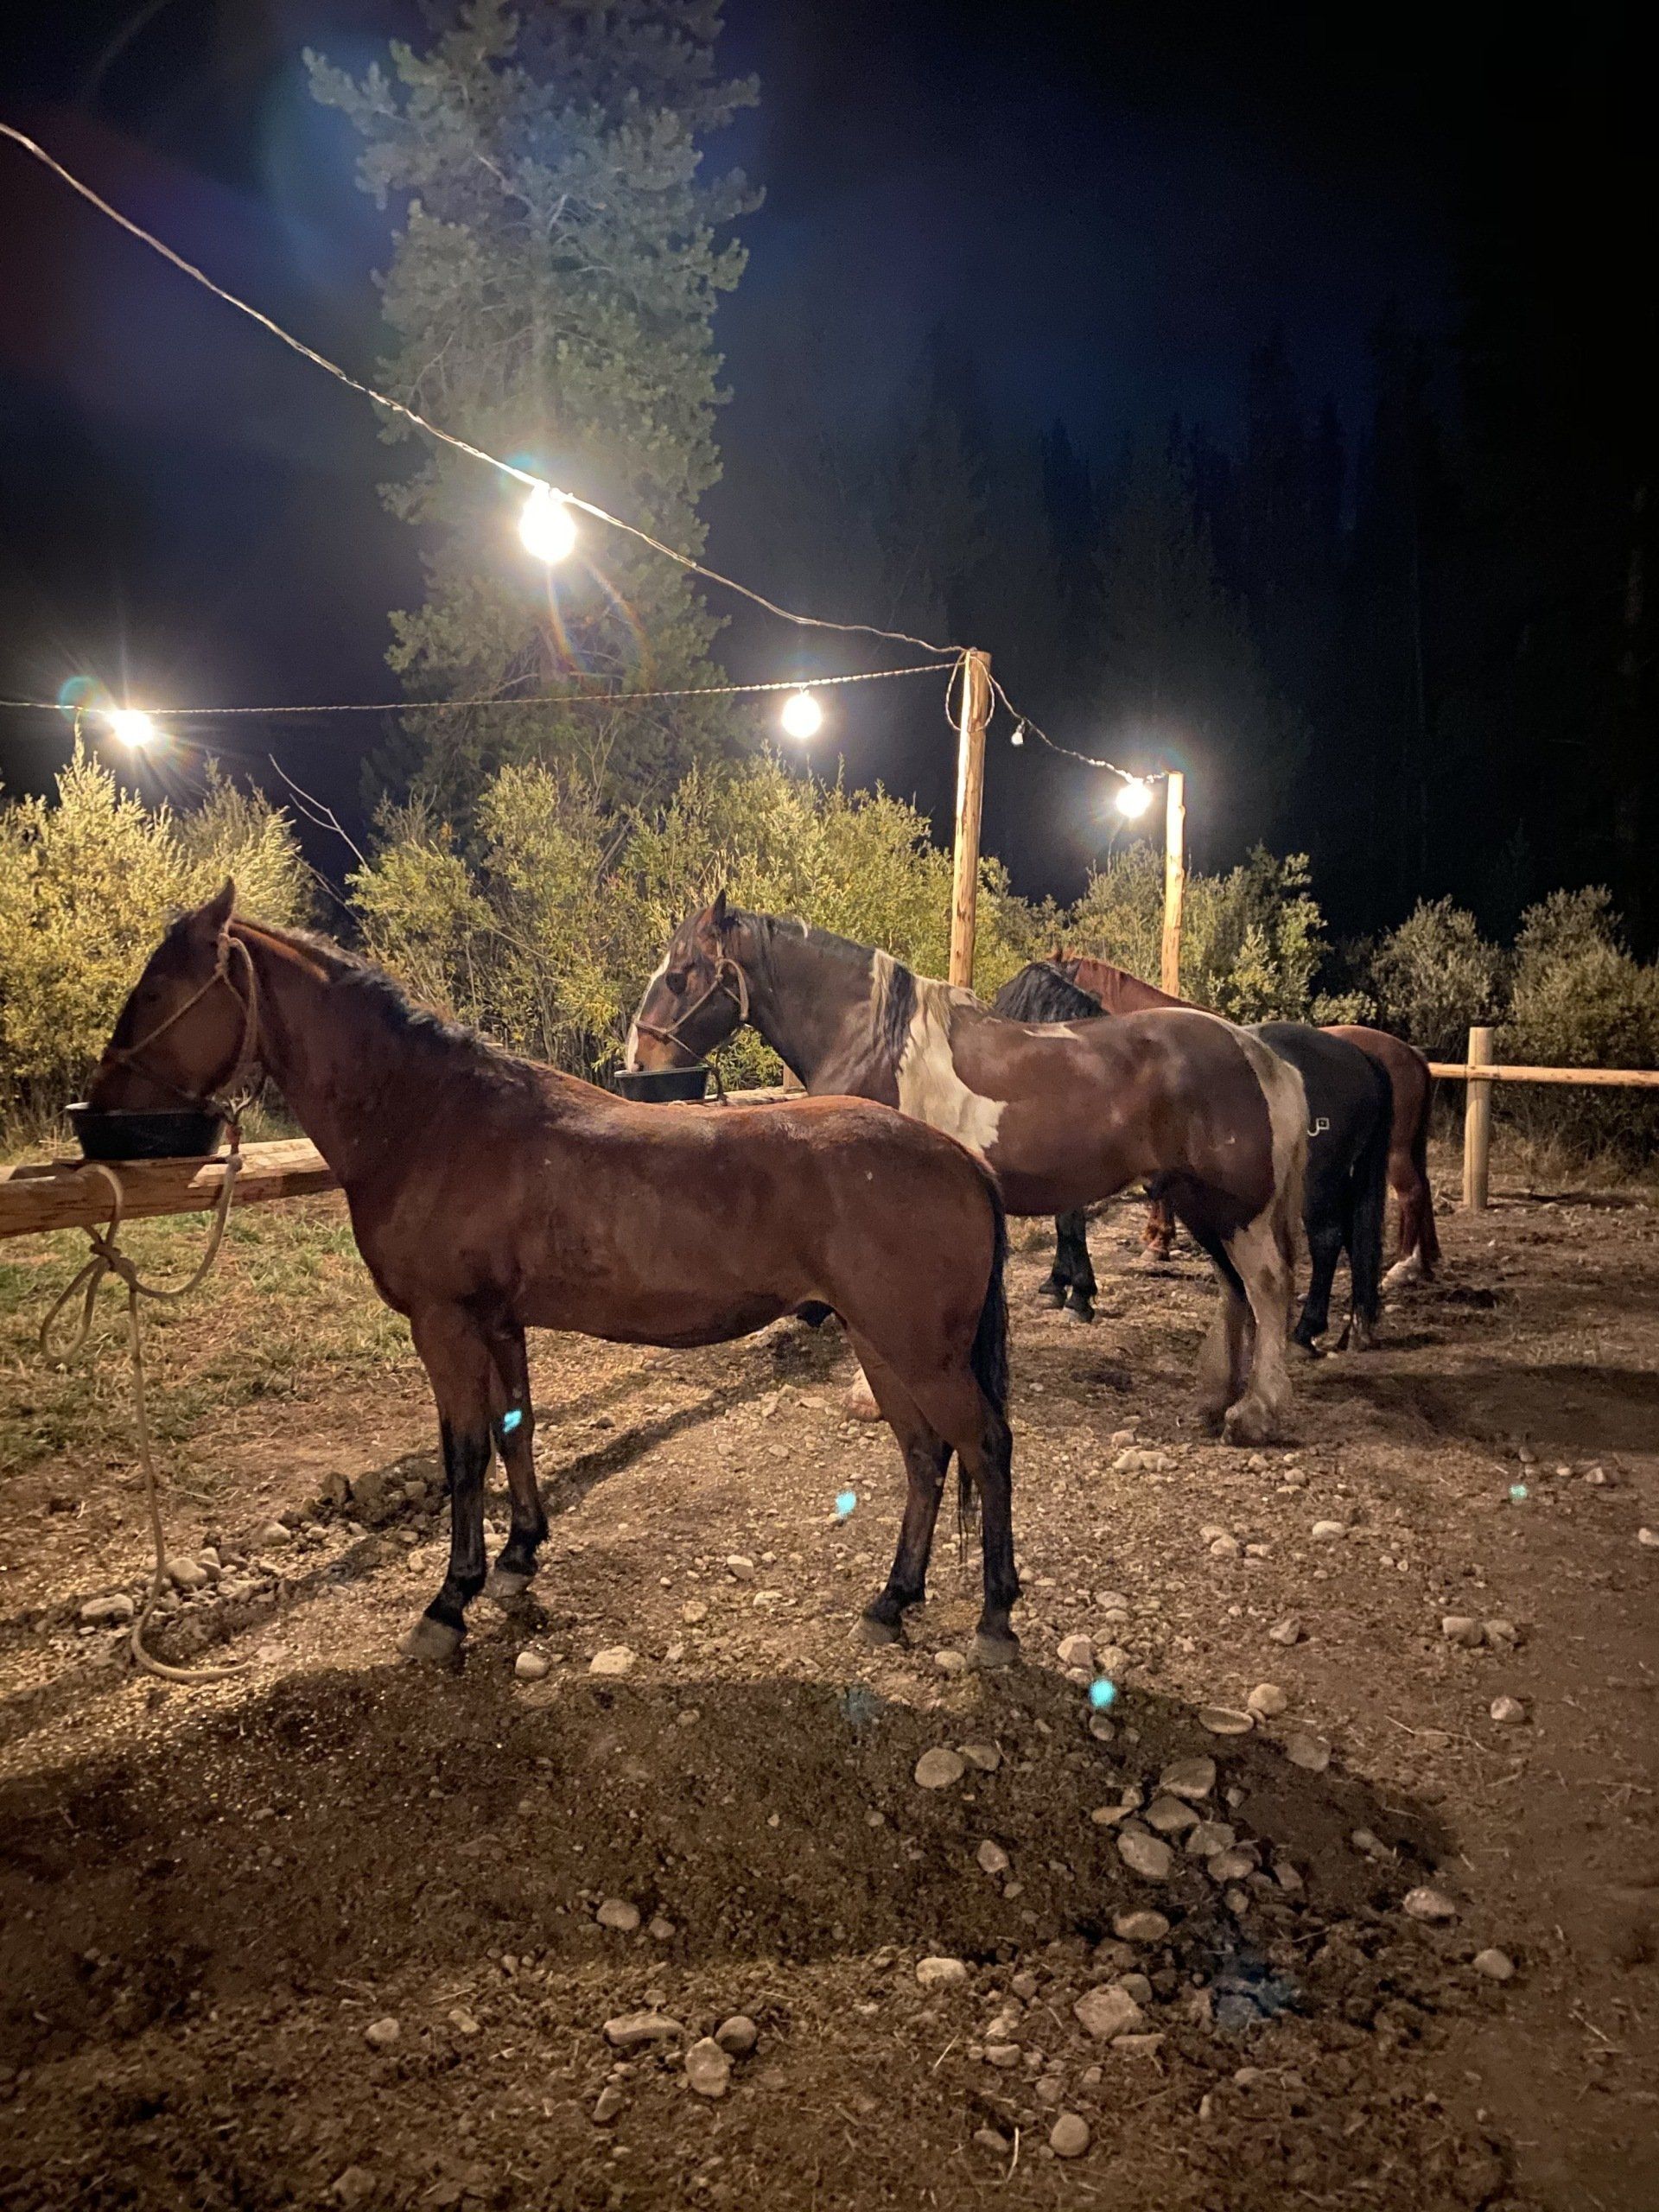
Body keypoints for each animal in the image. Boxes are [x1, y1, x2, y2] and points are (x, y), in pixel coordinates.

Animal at [87, 883, 1023, 1667]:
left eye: (158, 993)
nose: (98, 1115)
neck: (433, 1119)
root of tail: (961, 1162)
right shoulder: (499, 1321)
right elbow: (516, 1430)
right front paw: (517, 1556)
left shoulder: (445, 1323)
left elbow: (464, 1451)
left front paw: (449, 1601)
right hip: (879, 1344)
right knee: (925, 1457)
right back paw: (892, 1601)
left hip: (921, 1353)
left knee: (984, 1446)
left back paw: (994, 1621)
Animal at [627, 895, 1309, 1445]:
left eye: (681, 976)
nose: (637, 1060)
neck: (876, 1044)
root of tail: (1265, 1057)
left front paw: (869, 1397)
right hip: (1201, 1203)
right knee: (1233, 1290)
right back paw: (1215, 1398)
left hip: (1239, 1209)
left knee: (1267, 1287)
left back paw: (1257, 1414)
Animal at [994, 962, 1392, 1351]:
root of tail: (1359, 1057)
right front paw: (1059, 1284)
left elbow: (1070, 1223)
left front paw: (1078, 1294)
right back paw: (1352, 1330)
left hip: (1318, 1183)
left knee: (1327, 1239)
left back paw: (1306, 1330)